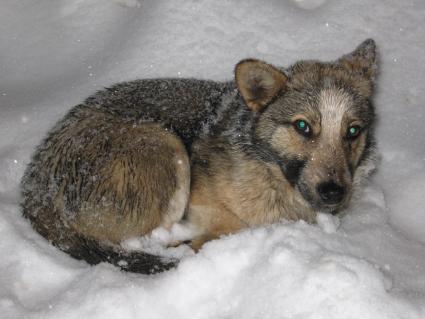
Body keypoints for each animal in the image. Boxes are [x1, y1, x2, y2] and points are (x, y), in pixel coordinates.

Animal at [19, 38, 378, 274]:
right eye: (303, 127)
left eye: (353, 131)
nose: (333, 192)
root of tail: (34, 189)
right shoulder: (205, 202)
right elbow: (231, 225)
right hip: (166, 147)